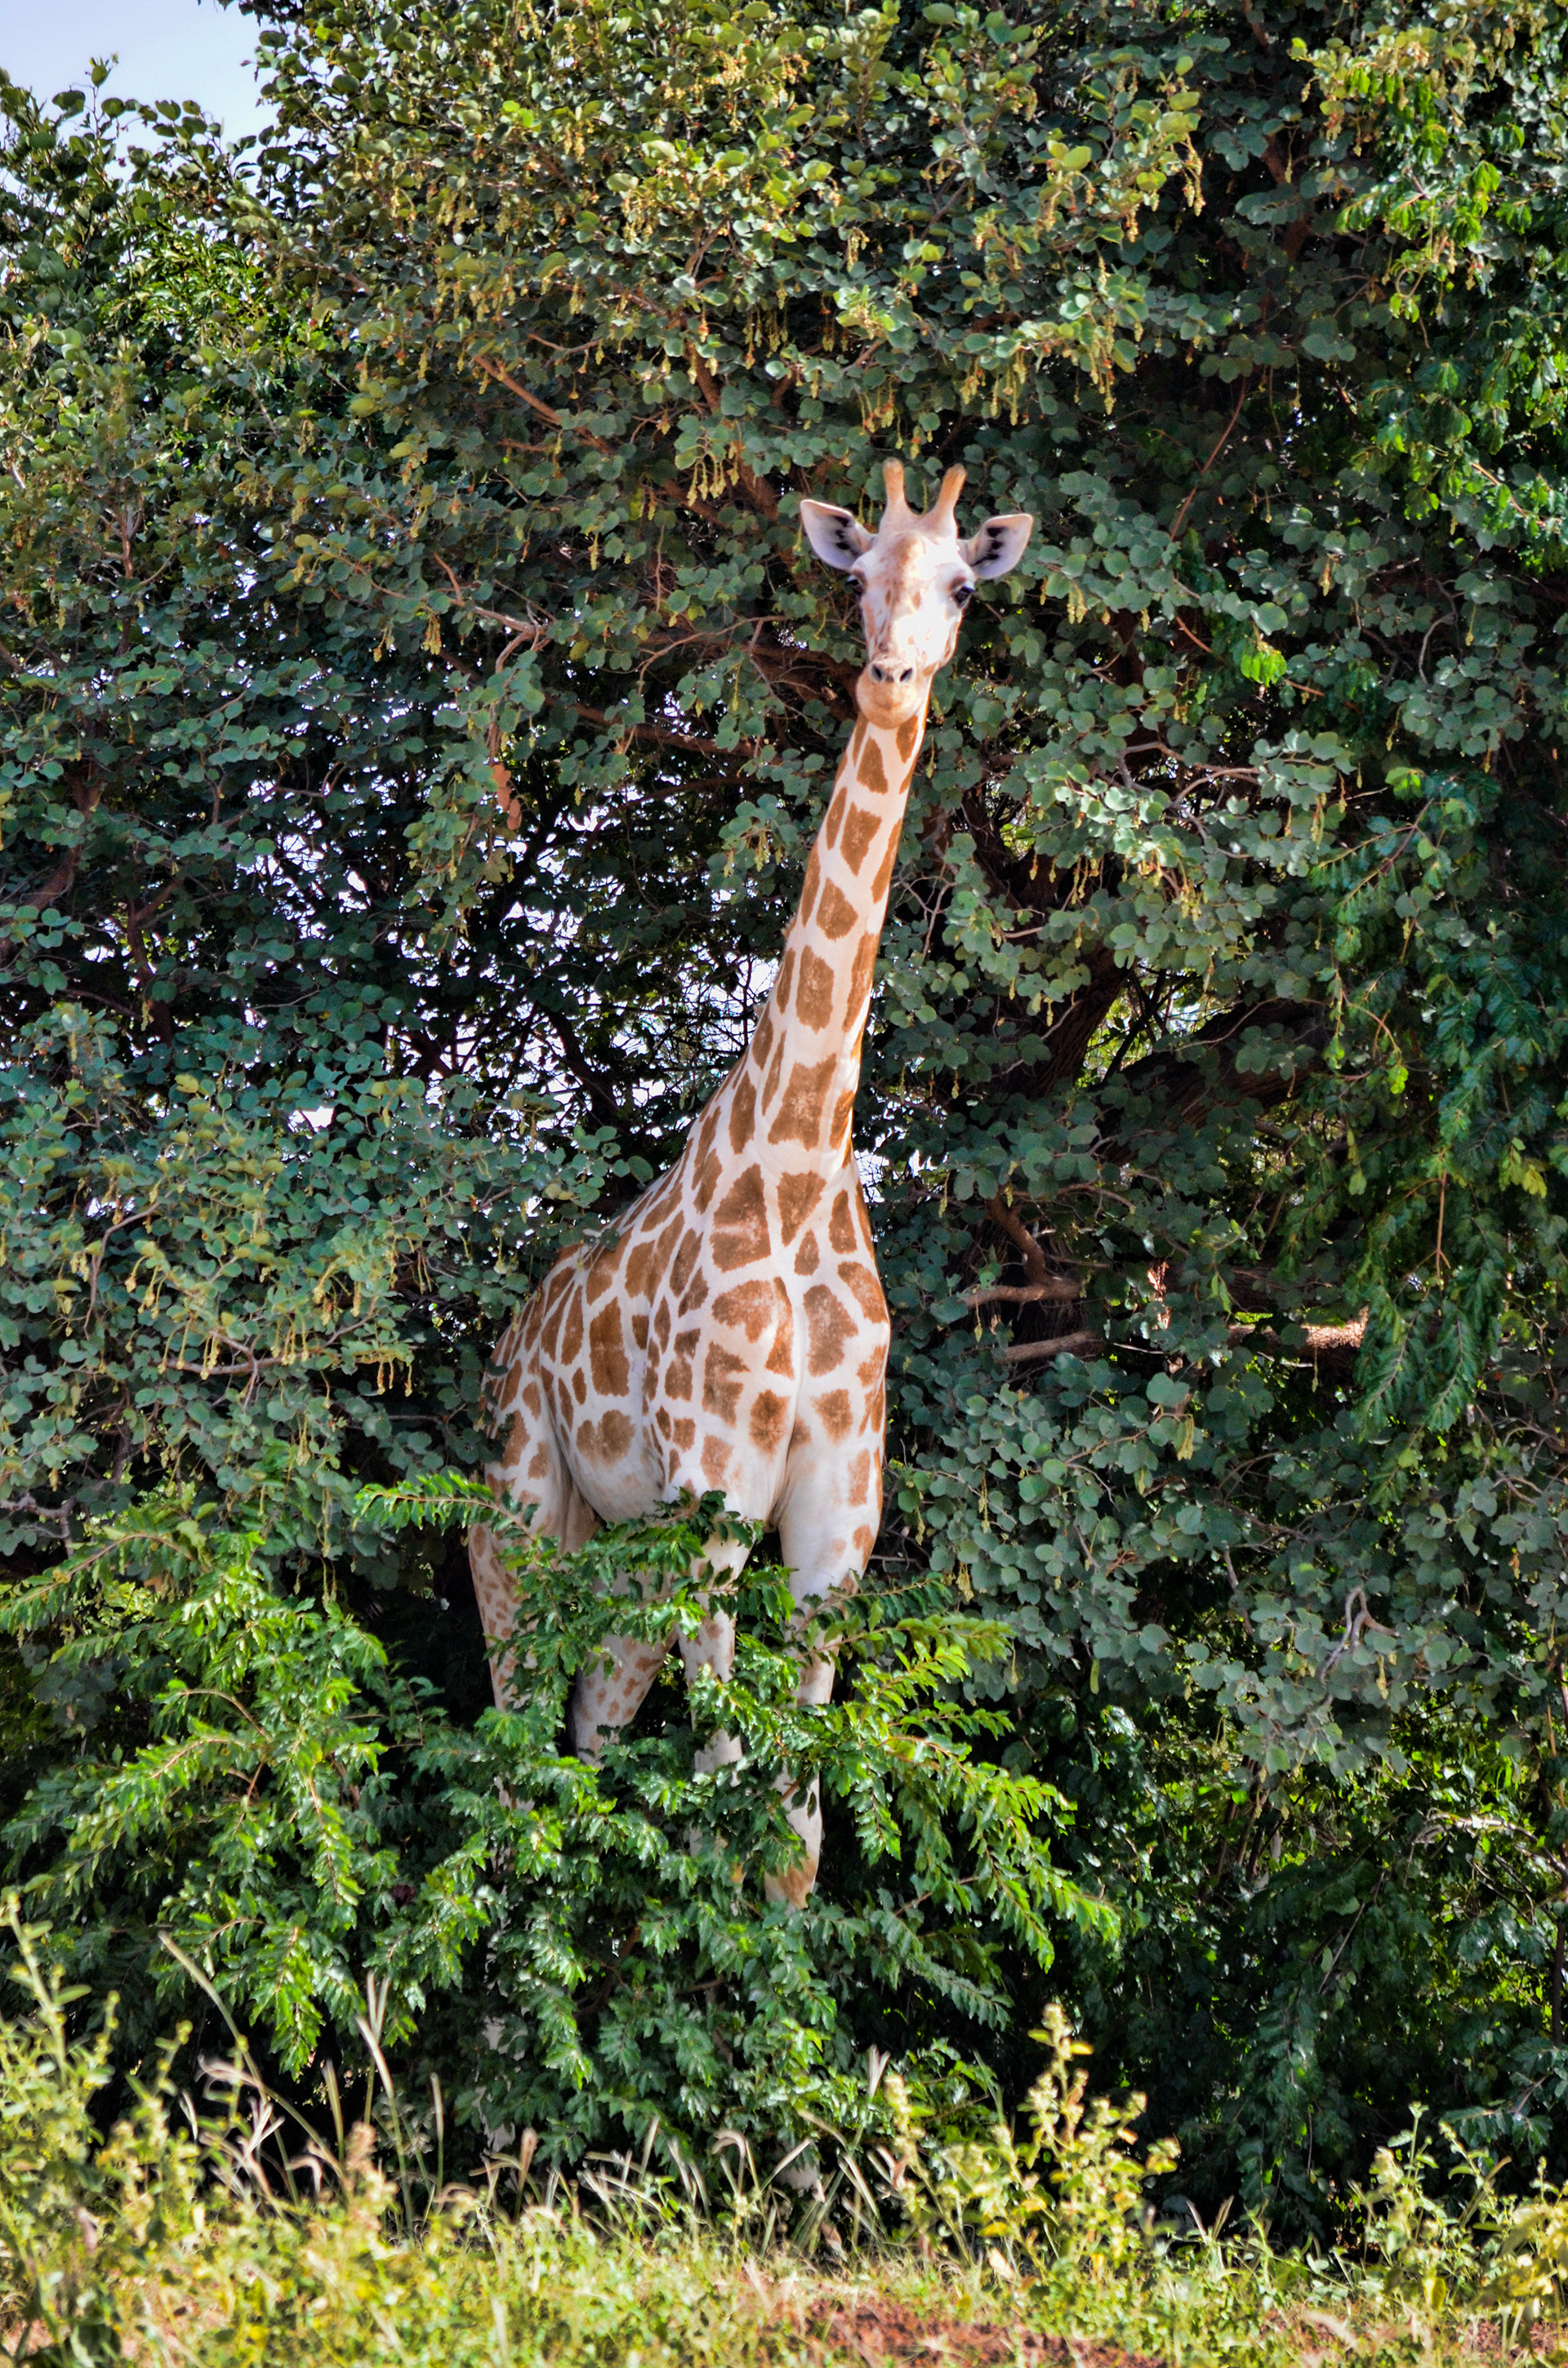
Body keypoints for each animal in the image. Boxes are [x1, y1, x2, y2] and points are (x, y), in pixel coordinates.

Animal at [469, 460, 1033, 1903]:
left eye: (963, 584)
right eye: (858, 575)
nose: (890, 673)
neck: (799, 1155)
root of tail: (510, 1334)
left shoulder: (840, 1528)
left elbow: (798, 1828)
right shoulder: (716, 1503)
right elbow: (728, 1783)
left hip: (623, 1552)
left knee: (592, 1728)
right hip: (524, 1506)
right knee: (514, 1736)